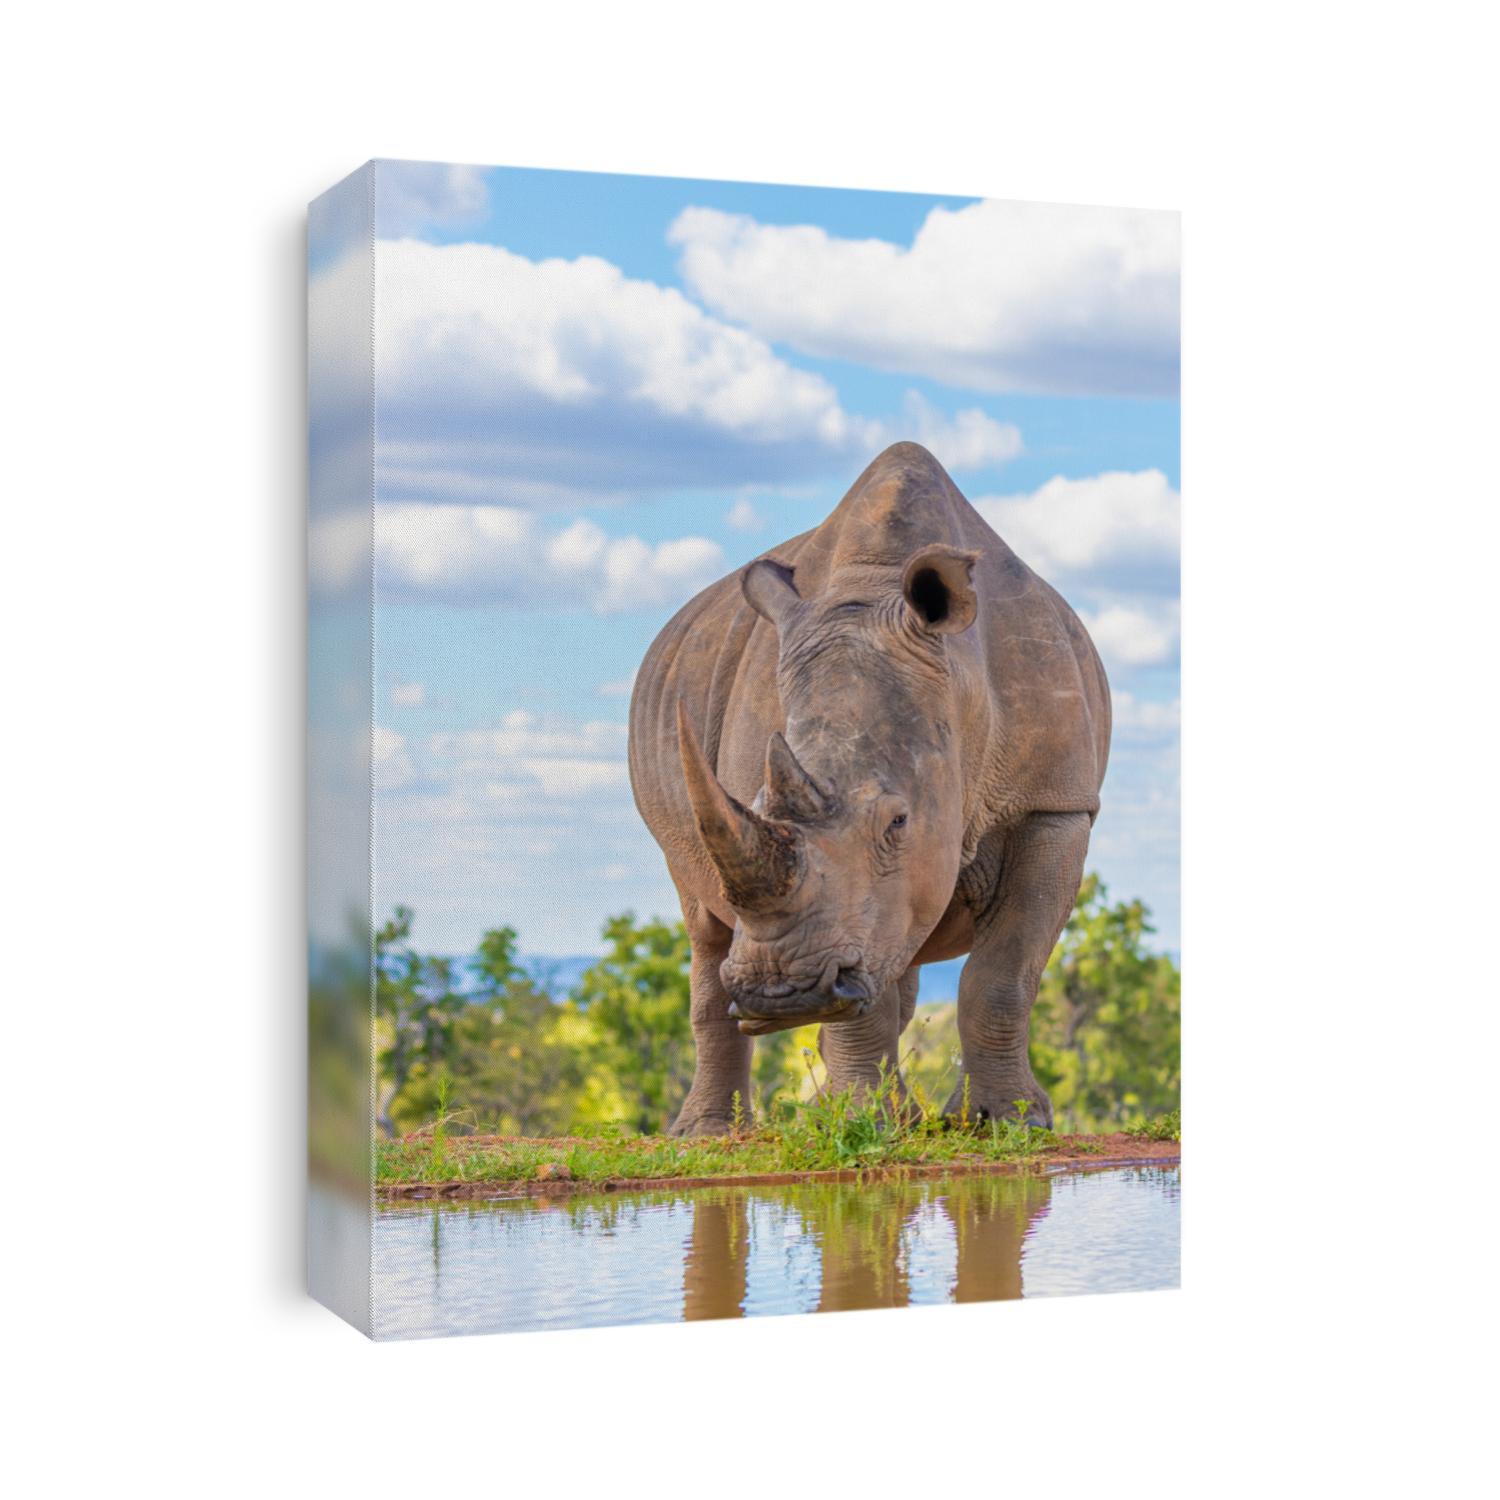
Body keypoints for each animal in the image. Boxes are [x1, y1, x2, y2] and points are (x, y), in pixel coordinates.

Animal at [628, 442, 1110, 1136]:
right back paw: (713, 1133)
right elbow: (866, 991)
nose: (783, 992)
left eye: (897, 823)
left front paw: (1007, 1122)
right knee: (705, 930)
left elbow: (1003, 972)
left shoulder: (1055, 803)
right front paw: (867, 1123)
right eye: (757, 801)